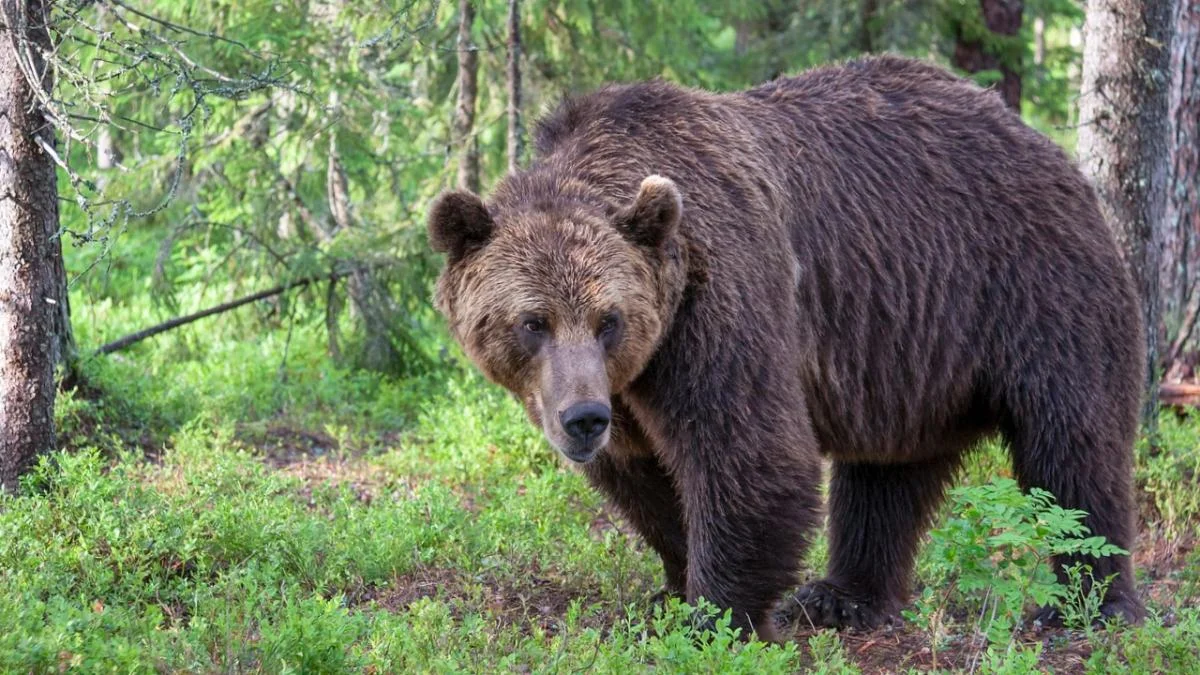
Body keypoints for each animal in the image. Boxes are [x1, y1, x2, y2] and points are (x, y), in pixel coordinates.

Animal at [429, 55, 1142, 638]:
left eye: (610, 320)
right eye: (533, 322)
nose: (583, 420)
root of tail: (1042, 141)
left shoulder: (719, 301)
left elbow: (748, 451)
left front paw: (715, 615)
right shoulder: (631, 382)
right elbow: (643, 475)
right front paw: (670, 589)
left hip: (1034, 287)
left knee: (1073, 447)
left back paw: (1086, 603)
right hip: (908, 351)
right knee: (887, 473)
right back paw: (842, 597)